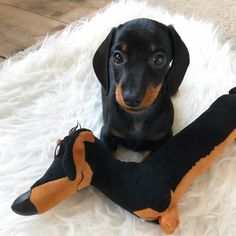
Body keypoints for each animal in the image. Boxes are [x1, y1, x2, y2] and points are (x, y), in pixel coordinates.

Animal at [12, 90, 236, 234]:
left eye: (61, 156)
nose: (18, 204)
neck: (120, 177)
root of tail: (231, 96)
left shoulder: (163, 197)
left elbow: (168, 214)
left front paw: (171, 223)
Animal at [92, 18, 190, 151]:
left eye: (159, 59)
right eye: (117, 56)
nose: (131, 99)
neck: (137, 118)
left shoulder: (163, 137)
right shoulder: (107, 133)